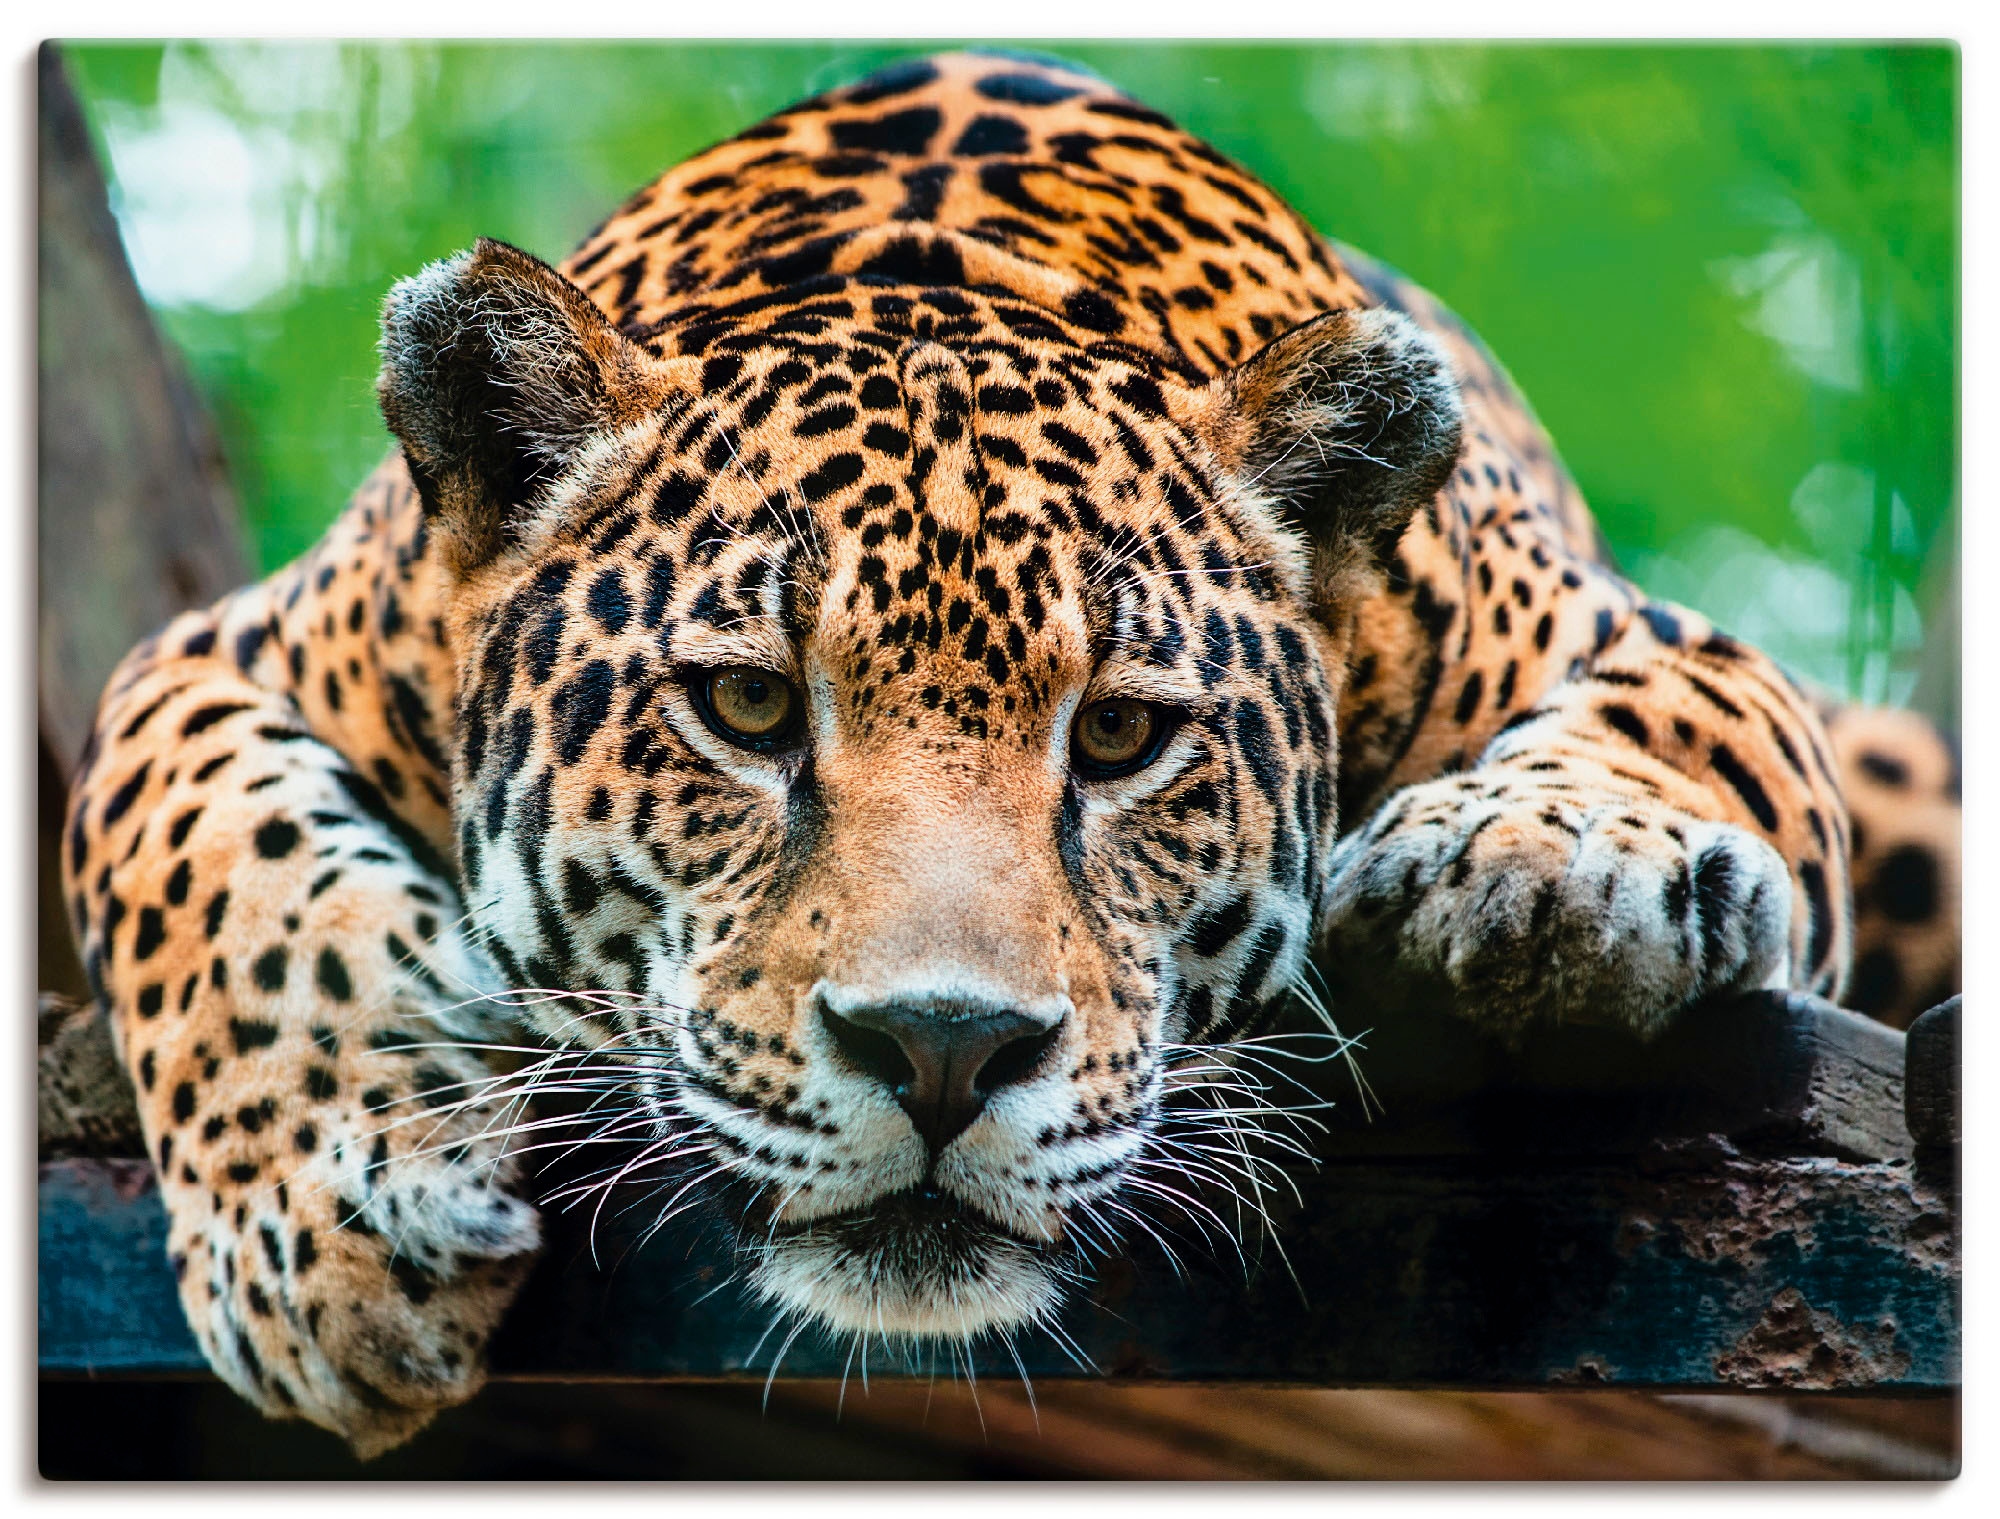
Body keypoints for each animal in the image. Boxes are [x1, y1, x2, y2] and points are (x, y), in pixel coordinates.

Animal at [61, 50, 1961, 1455]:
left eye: (1119, 734)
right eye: (749, 708)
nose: (942, 1049)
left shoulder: (1644, 635)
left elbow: (1691, 724)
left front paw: (1548, 861)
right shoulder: (223, 651)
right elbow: (205, 862)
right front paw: (326, 1228)